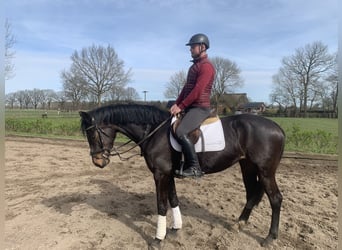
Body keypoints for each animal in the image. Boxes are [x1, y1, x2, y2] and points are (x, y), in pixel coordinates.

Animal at [79, 103, 284, 246]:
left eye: (93, 134)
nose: (98, 162)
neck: (154, 132)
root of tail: (278, 128)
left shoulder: (160, 174)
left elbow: (162, 205)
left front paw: (158, 239)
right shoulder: (168, 174)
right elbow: (173, 199)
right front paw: (175, 228)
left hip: (265, 171)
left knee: (275, 198)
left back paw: (270, 237)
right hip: (247, 166)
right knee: (251, 194)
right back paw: (239, 224)